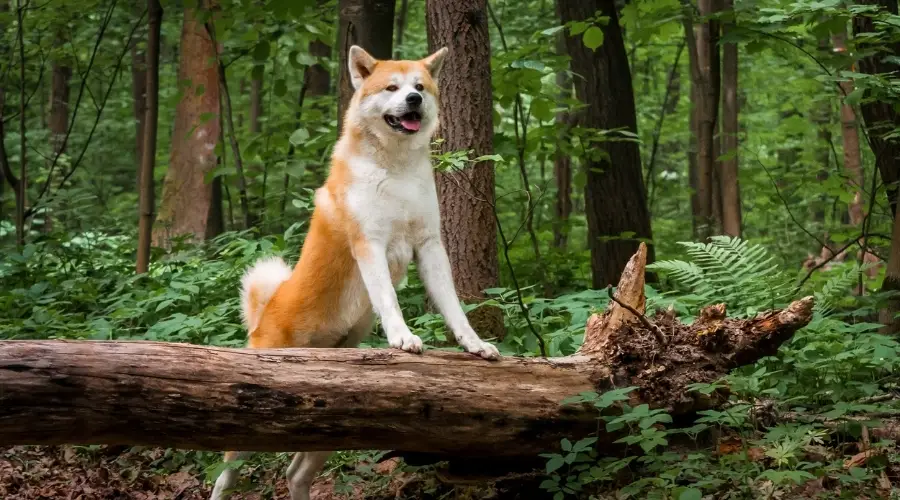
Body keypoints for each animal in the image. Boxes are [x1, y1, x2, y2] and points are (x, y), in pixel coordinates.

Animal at [211, 45, 502, 498]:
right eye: (392, 88)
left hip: (336, 425)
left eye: (420, 87)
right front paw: (403, 338)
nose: (413, 100)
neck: (396, 171)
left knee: (296, 473)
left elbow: (454, 308)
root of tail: (264, 313)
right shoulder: (371, 246)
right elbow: (389, 300)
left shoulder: (430, 247)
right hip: (245, 433)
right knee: (225, 477)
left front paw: (475, 346)